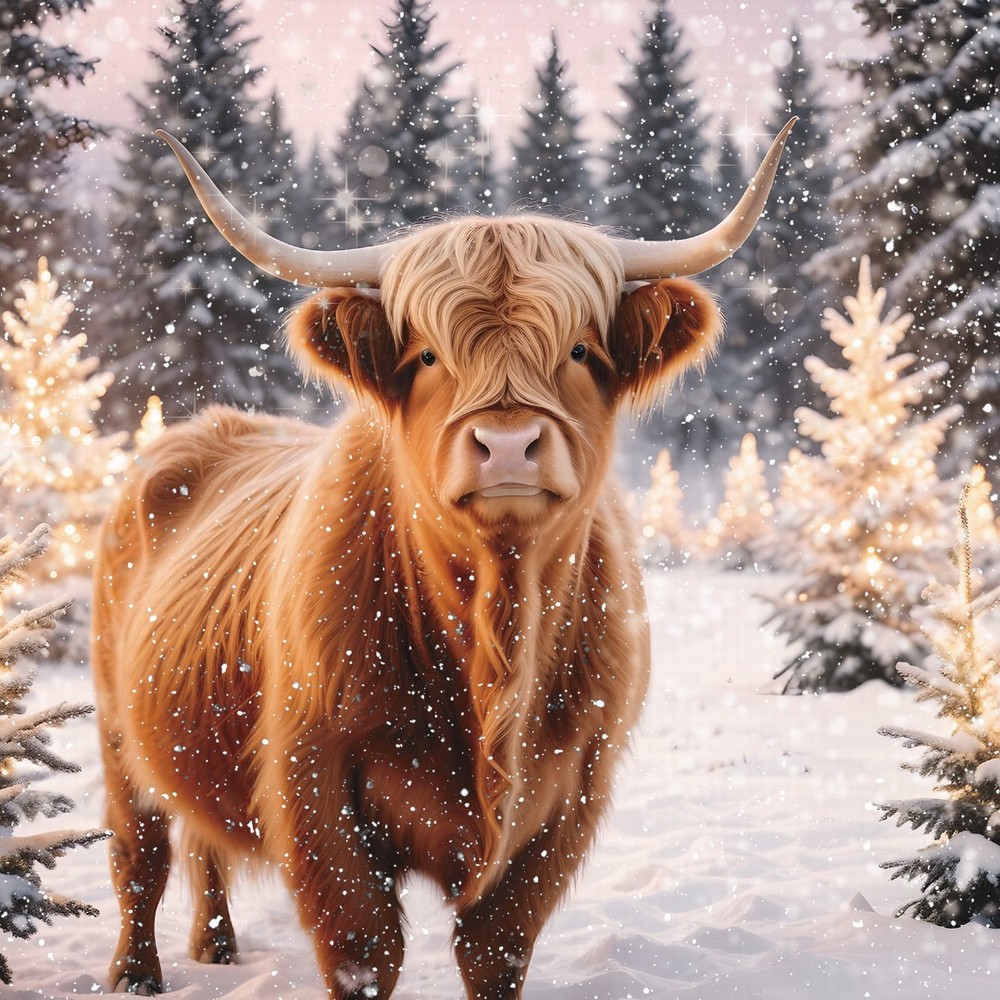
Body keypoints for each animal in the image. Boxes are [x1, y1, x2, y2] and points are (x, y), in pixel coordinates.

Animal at [92, 118, 794, 998]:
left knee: (200, 839)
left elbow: (495, 948)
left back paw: (215, 946)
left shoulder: (572, 790)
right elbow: (362, 945)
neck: (495, 631)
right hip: (117, 728)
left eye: (579, 351)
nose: (508, 444)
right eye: (427, 356)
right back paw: (136, 974)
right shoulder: (314, 779)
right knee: (141, 851)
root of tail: (206, 427)